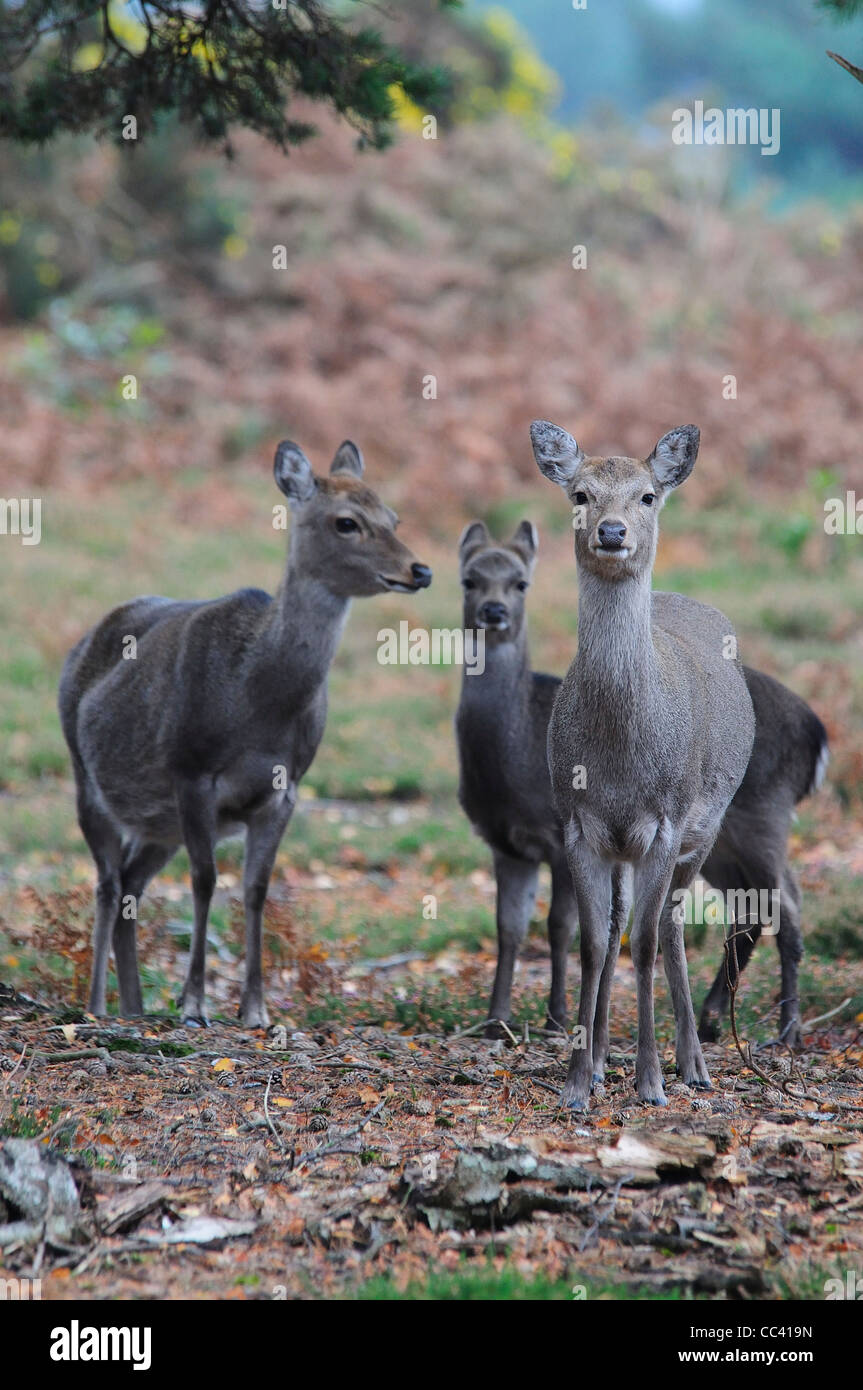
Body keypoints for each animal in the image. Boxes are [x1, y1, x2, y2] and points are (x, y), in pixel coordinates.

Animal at [60, 439, 430, 1028]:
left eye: (394, 517)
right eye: (347, 522)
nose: (420, 569)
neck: (258, 700)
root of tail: (77, 649)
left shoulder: (285, 788)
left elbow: (256, 890)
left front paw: (255, 1009)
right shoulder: (190, 771)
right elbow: (205, 880)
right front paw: (193, 1004)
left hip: (158, 825)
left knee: (131, 888)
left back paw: (135, 1008)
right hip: (85, 777)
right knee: (107, 884)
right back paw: (97, 1007)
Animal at [453, 522, 822, 1050]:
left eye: (521, 583)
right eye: (469, 580)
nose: (494, 612)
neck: (511, 758)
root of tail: (814, 731)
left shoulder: (557, 832)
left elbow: (559, 925)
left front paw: (555, 1019)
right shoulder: (505, 843)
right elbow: (508, 927)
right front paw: (495, 1021)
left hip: (764, 812)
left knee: (786, 901)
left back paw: (786, 1030)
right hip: (719, 839)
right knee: (749, 908)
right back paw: (712, 1020)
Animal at [530, 417, 755, 1112]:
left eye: (648, 495)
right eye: (579, 493)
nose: (611, 531)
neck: (619, 762)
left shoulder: (664, 821)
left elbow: (648, 943)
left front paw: (651, 1081)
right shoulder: (577, 824)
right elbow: (596, 942)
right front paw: (580, 1079)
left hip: (705, 826)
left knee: (673, 924)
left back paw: (694, 1062)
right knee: (622, 921)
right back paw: (608, 1058)